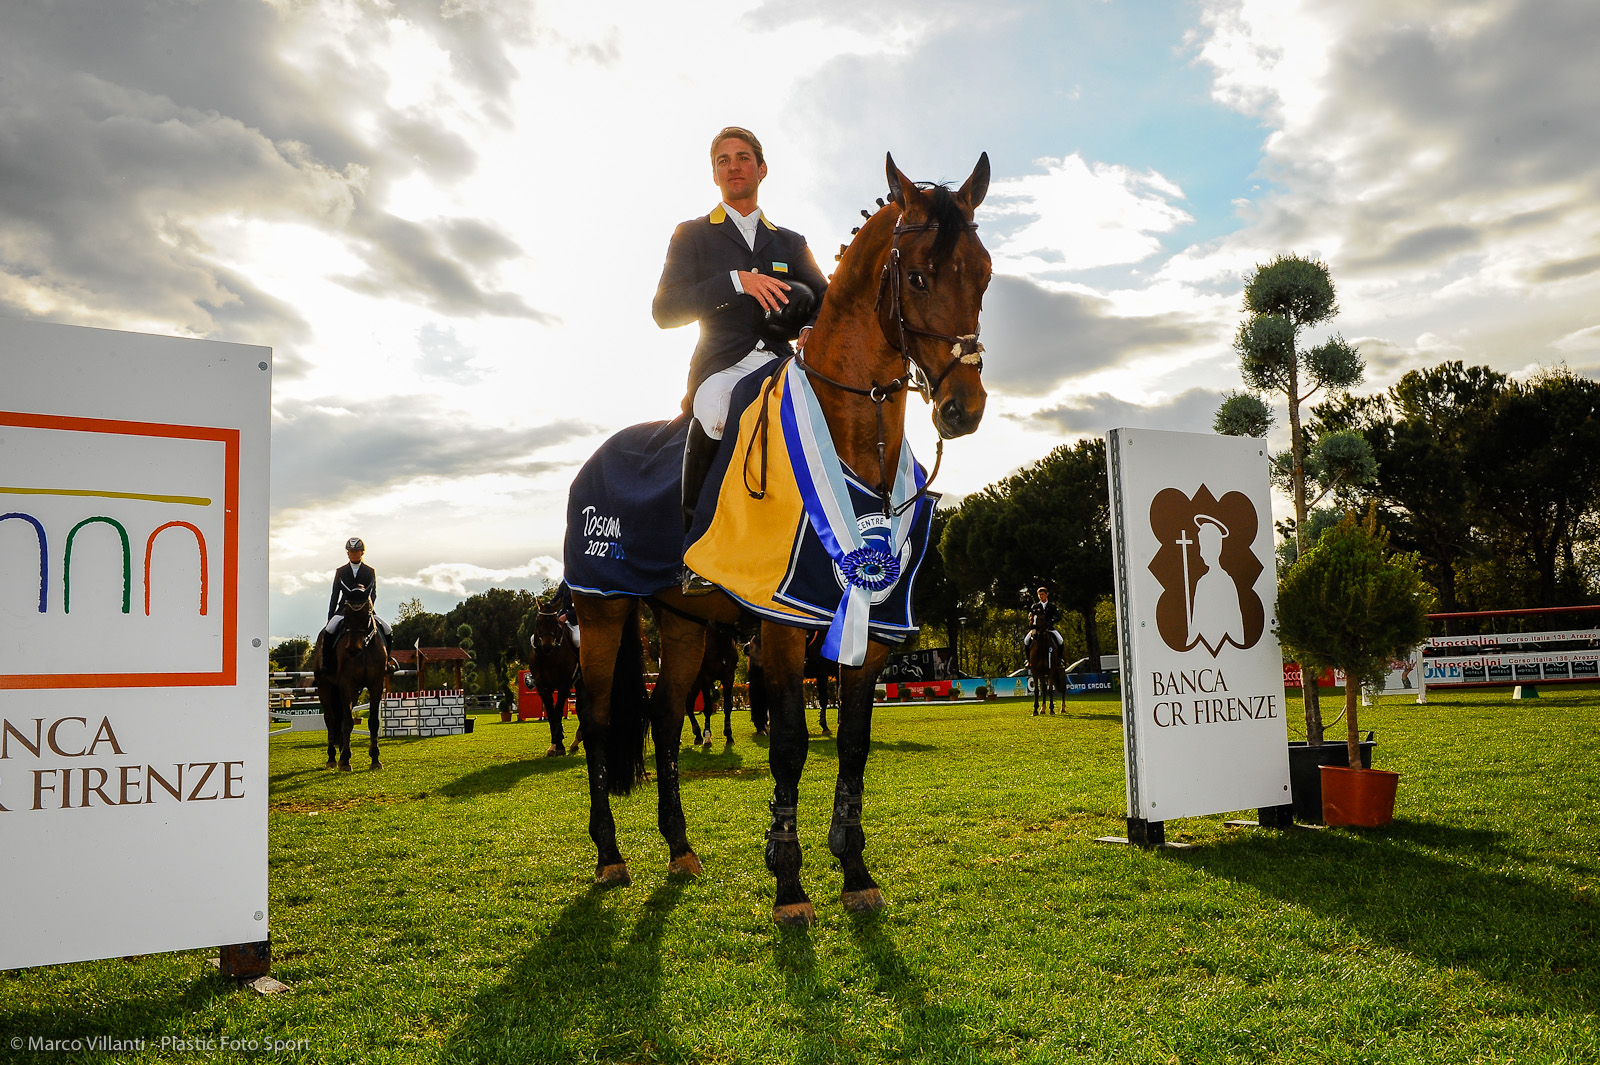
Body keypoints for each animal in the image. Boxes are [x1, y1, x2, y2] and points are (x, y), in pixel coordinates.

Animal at [312, 588, 387, 770]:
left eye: (367, 613)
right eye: (345, 613)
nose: (353, 649)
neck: (365, 646)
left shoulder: (376, 685)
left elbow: (373, 722)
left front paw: (375, 760)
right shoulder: (346, 684)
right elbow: (347, 722)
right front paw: (345, 760)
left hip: (355, 691)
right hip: (325, 687)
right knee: (331, 719)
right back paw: (332, 758)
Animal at [528, 604, 585, 754]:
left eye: (555, 624)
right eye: (538, 622)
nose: (547, 646)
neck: (547, 657)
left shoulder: (563, 684)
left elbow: (558, 711)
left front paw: (558, 745)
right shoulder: (542, 687)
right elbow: (551, 713)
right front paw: (555, 744)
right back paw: (576, 741)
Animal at [563, 153, 985, 927]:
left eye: (985, 273)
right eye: (917, 278)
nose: (961, 409)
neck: (854, 437)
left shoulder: (871, 624)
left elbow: (853, 743)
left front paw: (854, 869)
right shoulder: (784, 623)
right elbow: (788, 743)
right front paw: (789, 880)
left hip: (684, 621)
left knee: (664, 719)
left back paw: (679, 847)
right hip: (602, 608)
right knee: (603, 720)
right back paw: (610, 855)